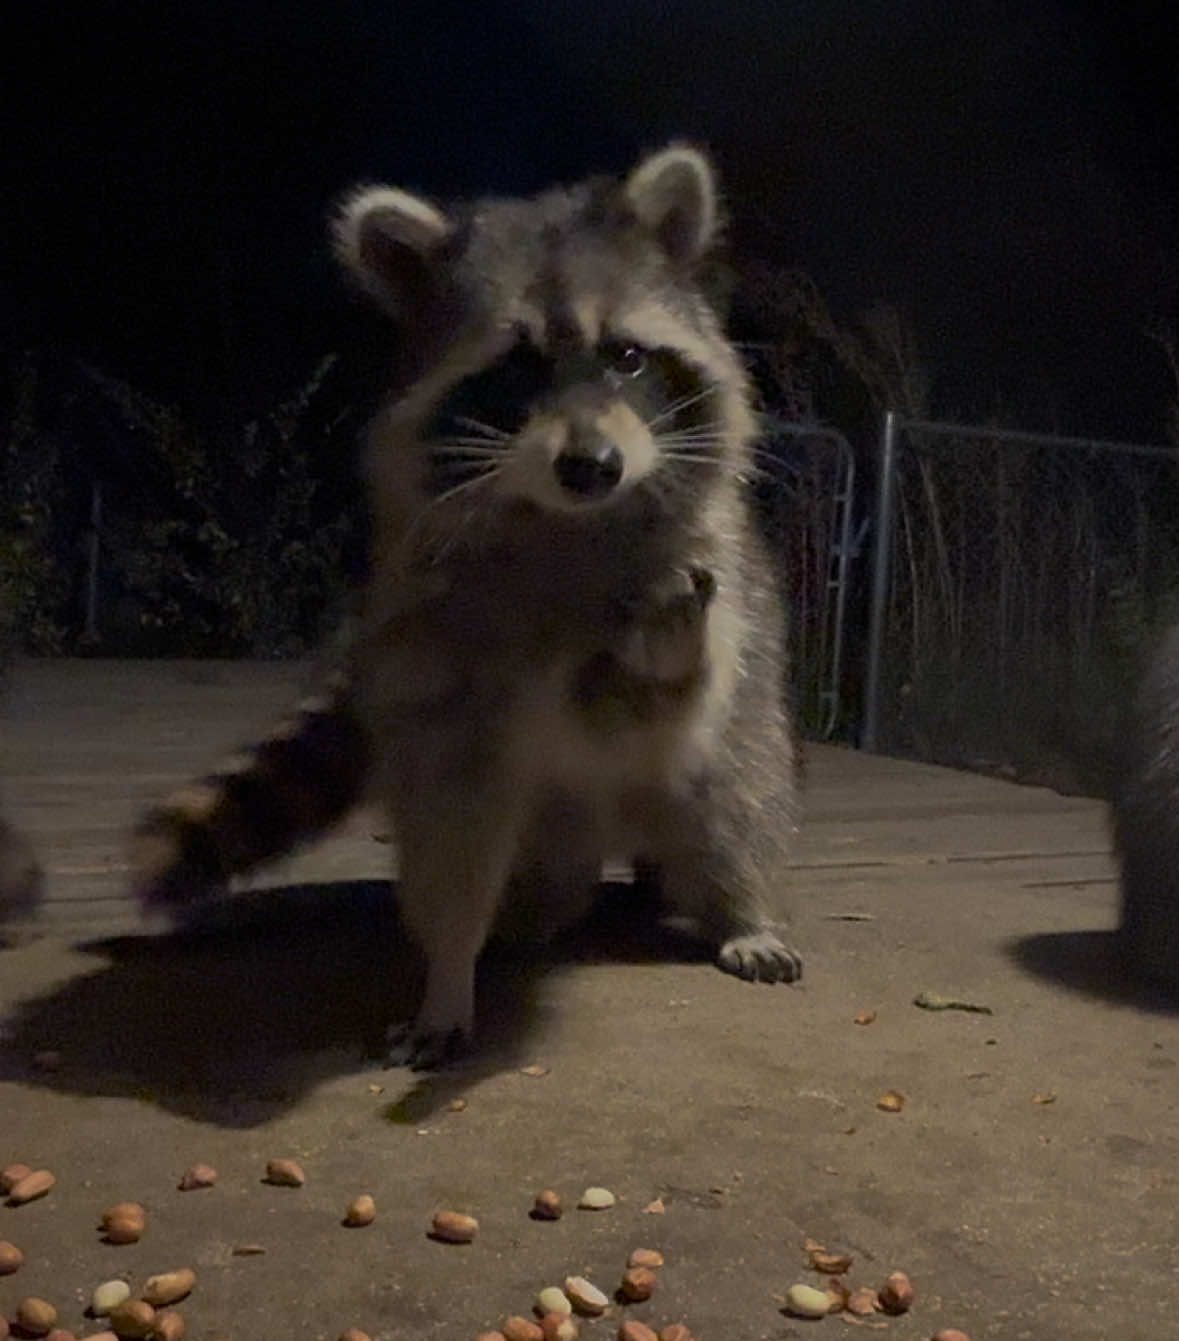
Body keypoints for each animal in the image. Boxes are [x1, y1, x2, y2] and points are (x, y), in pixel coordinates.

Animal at [132, 144, 803, 1066]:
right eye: (516, 365)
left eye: (628, 356)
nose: (591, 467)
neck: (565, 521)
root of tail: (618, 835)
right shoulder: (438, 641)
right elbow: (453, 823)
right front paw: (449, 970)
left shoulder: (710, 577)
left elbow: (663, 700)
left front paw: (671, 646)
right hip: (538, 820)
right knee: (530, 871)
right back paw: (519, 923)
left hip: (742, 731)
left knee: (737, 794)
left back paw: (740, 906)